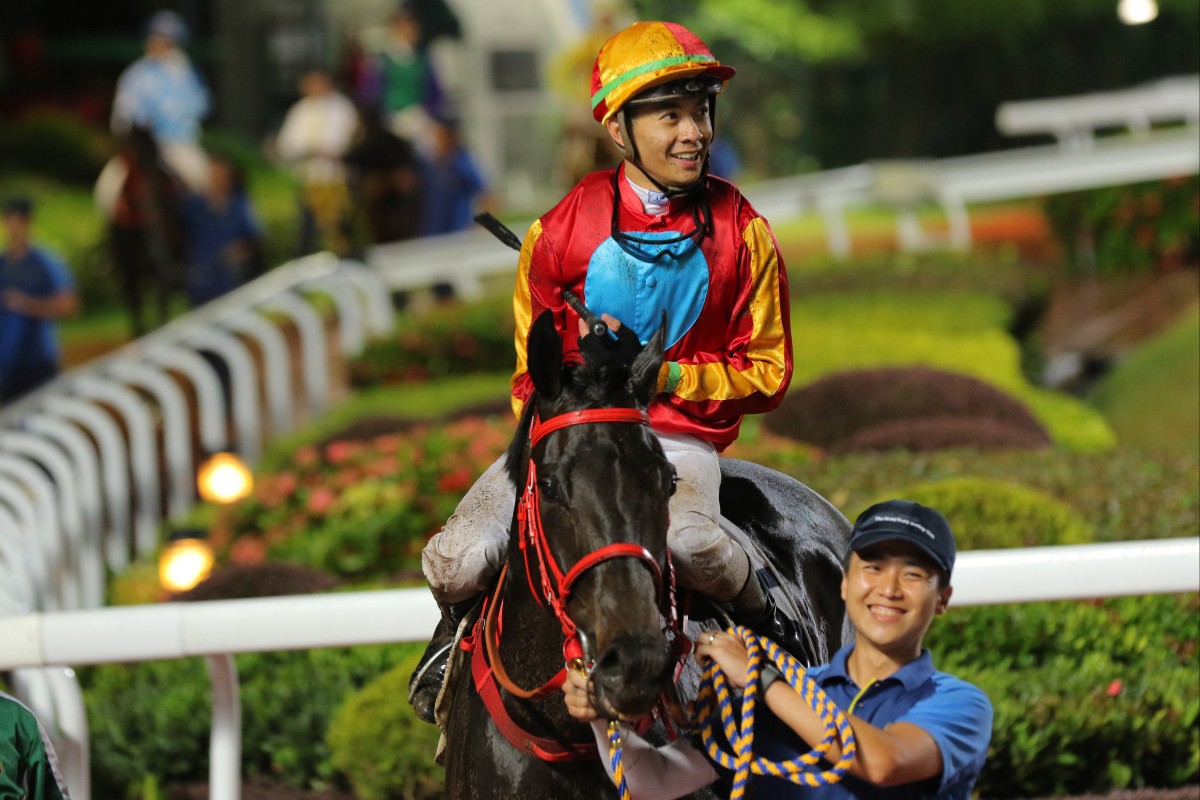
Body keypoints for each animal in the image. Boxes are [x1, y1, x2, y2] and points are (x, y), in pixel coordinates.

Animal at [108, 123, 189, 335]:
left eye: (158, 151)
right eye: (132, 157)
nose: (153, 202)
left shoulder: (160, 272)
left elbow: (161, 312)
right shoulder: (129, 275)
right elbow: (137, 319)